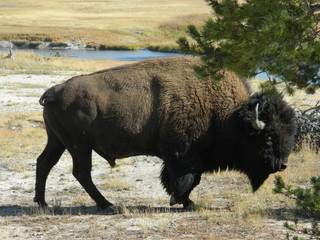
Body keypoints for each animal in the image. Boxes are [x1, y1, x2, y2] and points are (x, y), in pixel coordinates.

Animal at [33, 56, 296, 212]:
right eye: (268, 138)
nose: (282, 164)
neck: (227, 115)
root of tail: (53, 91)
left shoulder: (179, 156)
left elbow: (178, 178)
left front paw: (183, 200)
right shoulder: (183, 154)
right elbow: (189, 178)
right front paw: (183, 201)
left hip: (57, 140)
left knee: (44, 163)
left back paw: (42, 203)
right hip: (79, 144)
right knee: (81, 172)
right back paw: (106, 204)